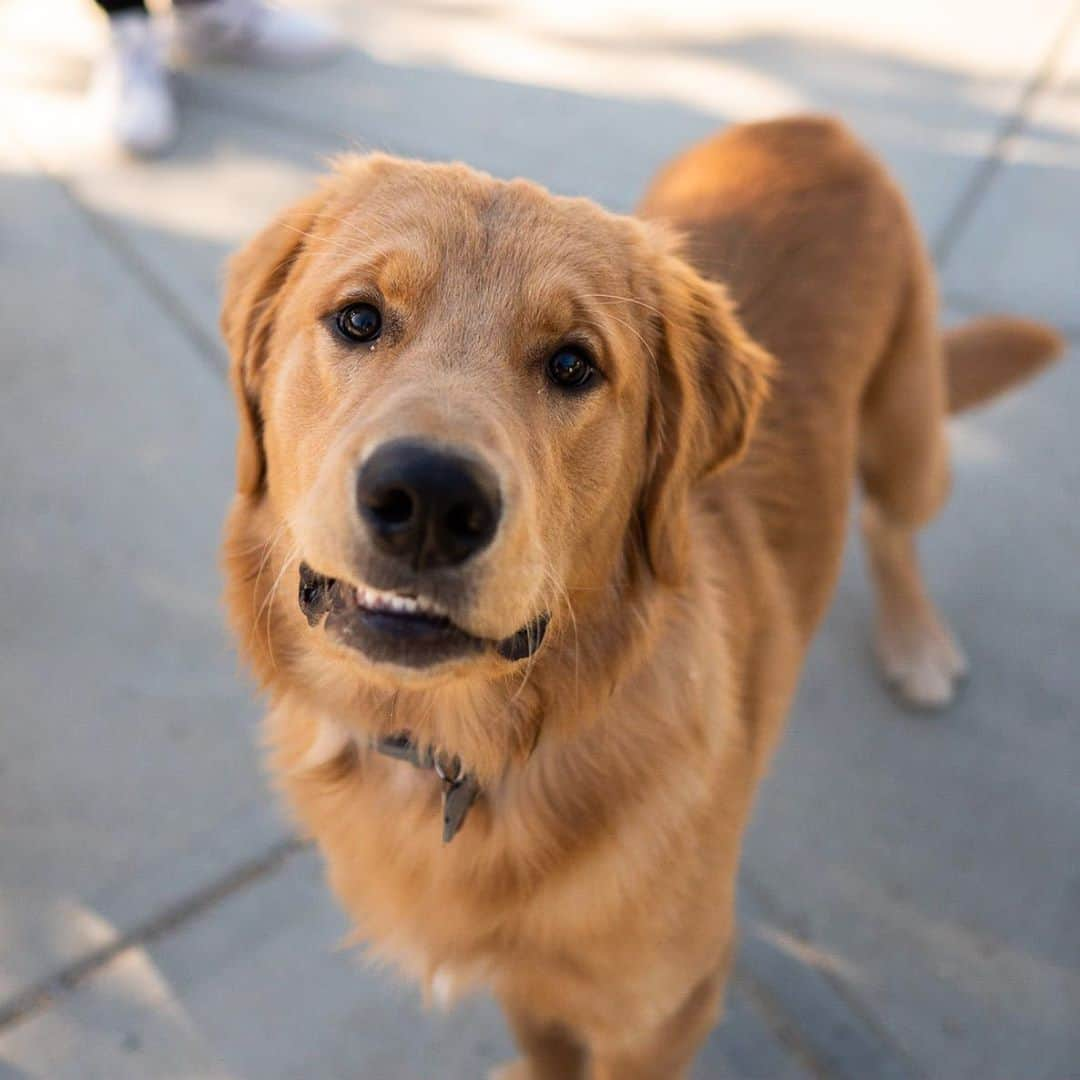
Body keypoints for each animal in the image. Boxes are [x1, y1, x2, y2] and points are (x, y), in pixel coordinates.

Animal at [221, 118, 1062, 1080]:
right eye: (359, 317)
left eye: (573, 364)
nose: (429, 499)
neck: (459, 750)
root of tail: (810, 125)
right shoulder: (532, 985)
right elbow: (545, 1043)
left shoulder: (664, 1010)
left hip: (908, 433)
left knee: (892, 523)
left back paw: (916, 641)